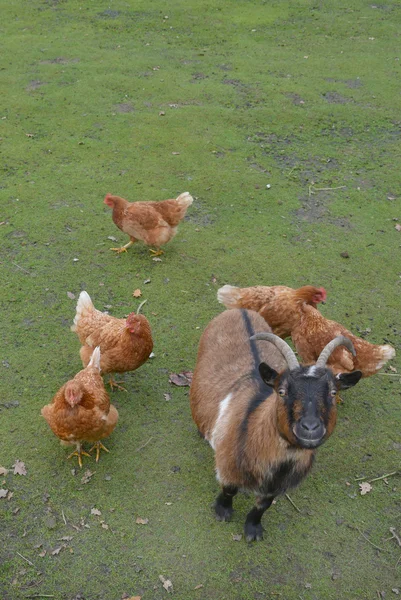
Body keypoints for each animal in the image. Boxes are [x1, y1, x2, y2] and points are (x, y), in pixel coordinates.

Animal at [189, 312, 360, 540]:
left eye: (333, 392)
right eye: (282, 391)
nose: (310, 428)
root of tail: (240, 309)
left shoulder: (278, 486)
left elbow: (264, 505)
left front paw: (253, 529)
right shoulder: (227, 465)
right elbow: (229, 489)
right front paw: (222, 511)